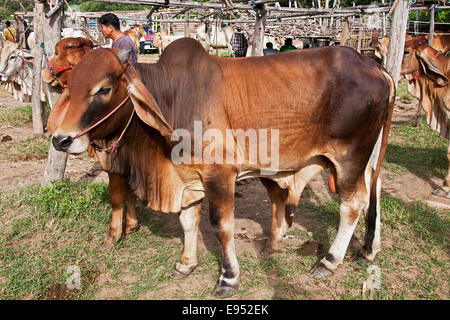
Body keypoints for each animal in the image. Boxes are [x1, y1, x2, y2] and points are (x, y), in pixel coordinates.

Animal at [48, 37, 394, 298]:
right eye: (70, 85)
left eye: (103, 89)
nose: (61, 140)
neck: (173, 98)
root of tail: (374, 65)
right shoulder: (189, 177)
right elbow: (188, 221)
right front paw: (186, 263)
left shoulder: (220, 174)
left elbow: (221, 226)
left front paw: (228, 278)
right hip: (367, 156)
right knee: (374, 189)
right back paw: (369, 249)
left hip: (349, 156)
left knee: (352, 204)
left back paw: (329, 261)